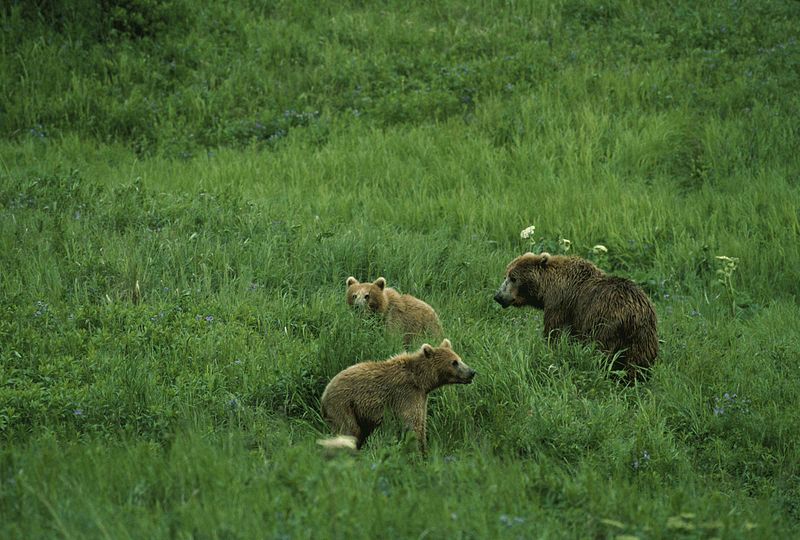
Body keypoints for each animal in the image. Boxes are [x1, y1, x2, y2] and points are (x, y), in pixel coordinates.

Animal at [320, 340, 476, 454]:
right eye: (454, 362)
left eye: (459, 359)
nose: (472, 372)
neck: (420, 380)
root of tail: (324, 393)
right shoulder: (406, 394)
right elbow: (413, 424)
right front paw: (419, 452)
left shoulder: (421, 397)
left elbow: (421, 422)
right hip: (343, 405)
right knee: (349, 431)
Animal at [494, 252, 656, 376]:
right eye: (505, 275)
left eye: (513, 278)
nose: (498, 296)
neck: (546, 288)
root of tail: (633, 314)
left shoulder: (560, 304)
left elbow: (555, 332)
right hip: (643, 336)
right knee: (638, 362)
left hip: (607, 325)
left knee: (601, 352)